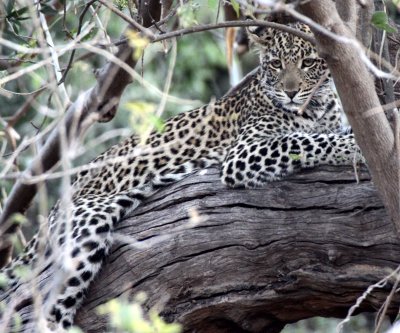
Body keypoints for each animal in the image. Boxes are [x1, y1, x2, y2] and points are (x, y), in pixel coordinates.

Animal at [0, 22, 362, 330]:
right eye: (275, 64)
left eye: (309, 62)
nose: (290, 92)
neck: (318, 106)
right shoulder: (242, 153)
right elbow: (302, 140)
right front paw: (352, 147)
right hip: (87, 224)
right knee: (49, 311)